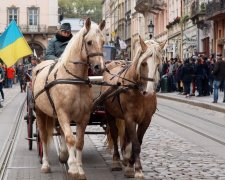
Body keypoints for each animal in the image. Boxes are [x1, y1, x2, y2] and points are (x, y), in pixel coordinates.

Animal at [31, 18, 105, 179]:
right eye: (89, 42)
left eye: (103, 41)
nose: (99, 67)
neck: (74, 80)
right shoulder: (63, 113)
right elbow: (70, 138)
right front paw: (73, 168)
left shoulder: (83, 116)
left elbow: (79, 142)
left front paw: (80, 169)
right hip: (40, 112)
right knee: (43, 136)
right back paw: (46, 164)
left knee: (59, 132)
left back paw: (63, 155)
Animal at [102, 36, 165, 179]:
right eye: (143, 63)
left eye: (158, 64)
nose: (149, 93)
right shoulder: (130, 118)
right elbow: (135, 144)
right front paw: (137, 170)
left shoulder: (145, 120)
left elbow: (138, 142)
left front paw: (131, 165)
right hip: (109, 113)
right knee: (114, 134)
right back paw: (116, 161)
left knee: (126, 137)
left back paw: (125, 158)